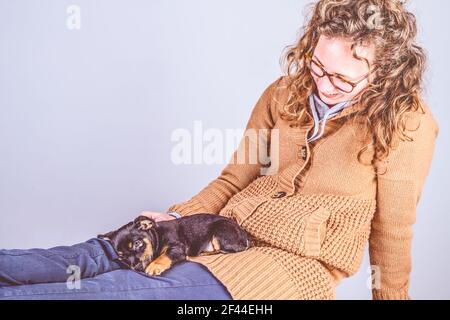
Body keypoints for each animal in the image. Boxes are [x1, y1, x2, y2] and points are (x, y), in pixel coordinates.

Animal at [97, 214, 250, 276]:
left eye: (137, 243)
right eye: (121, 256)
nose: (136, 268)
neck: (157, 237)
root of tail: (246, 237)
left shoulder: (177, 247)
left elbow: (165, 255)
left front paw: (154, 266)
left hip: (219, 231)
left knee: (227, 249)